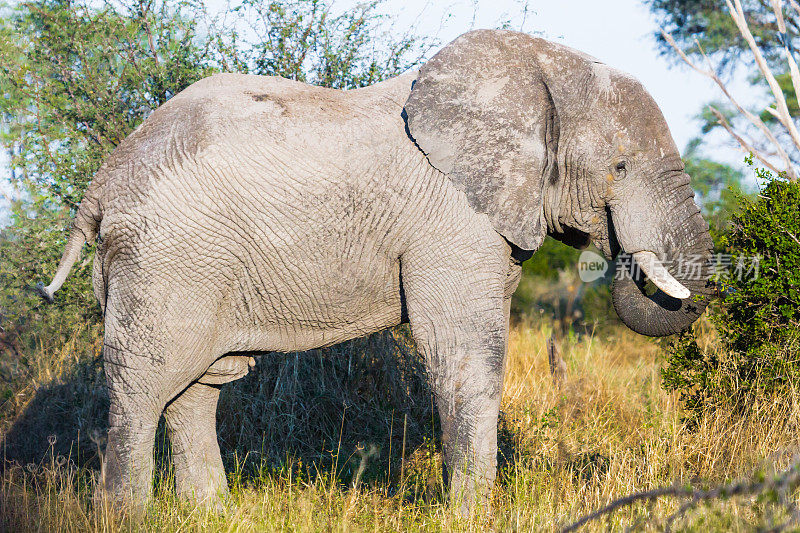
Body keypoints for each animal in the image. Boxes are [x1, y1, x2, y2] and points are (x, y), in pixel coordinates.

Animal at [39, 30, 712, 512]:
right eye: (619, 168)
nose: (620, 249)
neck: (535, 65)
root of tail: (103, 179)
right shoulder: (451, 218)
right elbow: (465, 353)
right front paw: (472, 515)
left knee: (198, 386)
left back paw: (213, 515)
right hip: (165, 259)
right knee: (144, 382)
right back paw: (126, 516)